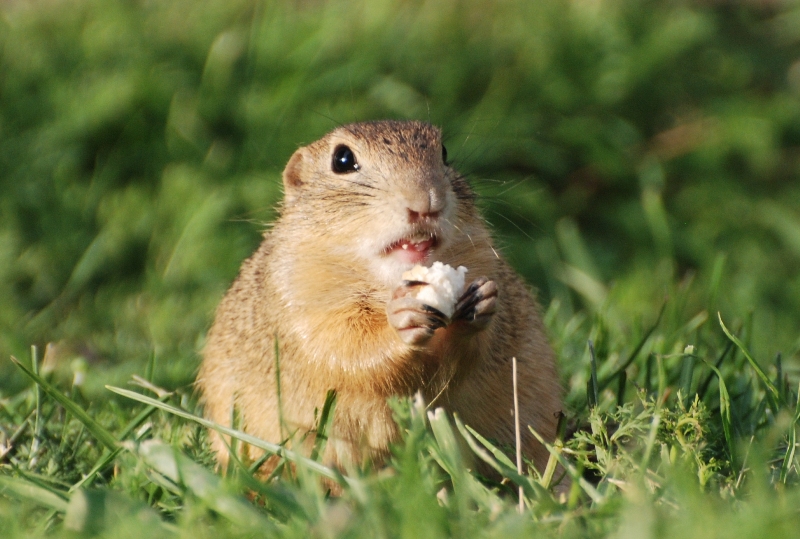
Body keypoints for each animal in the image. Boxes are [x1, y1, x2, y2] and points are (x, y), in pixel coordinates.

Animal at [198, 121, 564, 476]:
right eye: (342, 160)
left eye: (444, 153)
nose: (426, 199)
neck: (390, 282)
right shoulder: (298, 299)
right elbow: (345, 350)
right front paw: (401, 320)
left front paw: (482, 302)